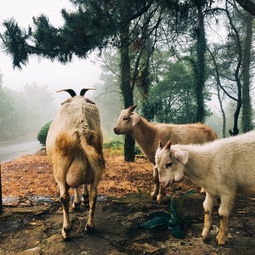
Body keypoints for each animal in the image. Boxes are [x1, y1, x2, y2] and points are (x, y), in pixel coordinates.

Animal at [46, 88, 104, 240]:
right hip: (97, 162)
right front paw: (82, 199)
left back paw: (66, 230)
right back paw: (90, 226)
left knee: (64, 197)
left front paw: (77, 203)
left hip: (60, 168)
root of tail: (82, 127)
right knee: (94, 194)